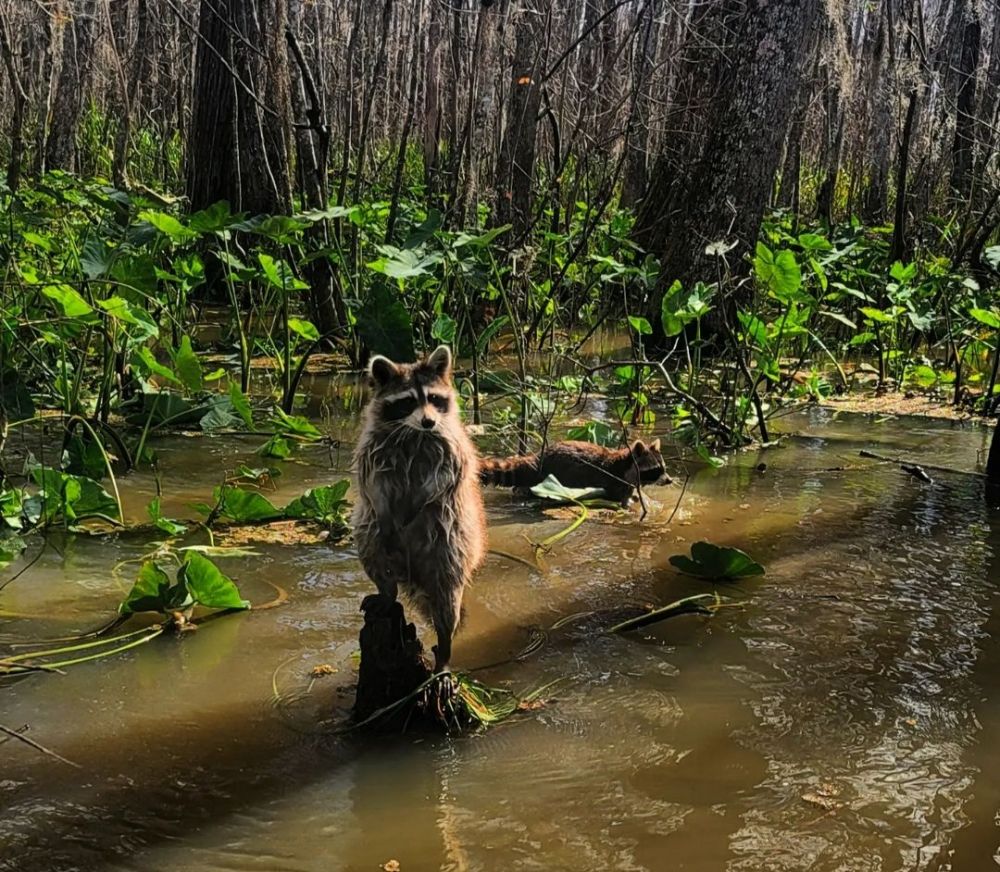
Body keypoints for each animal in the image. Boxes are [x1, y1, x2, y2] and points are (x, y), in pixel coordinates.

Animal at [354, 344, 486, 672]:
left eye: (434, 399)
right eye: (407, 402)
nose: (428, 422)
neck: (412, 432)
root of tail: (411, 573)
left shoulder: (450, 446)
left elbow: (443, 479)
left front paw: (420, 502)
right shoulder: (375, 449)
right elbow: (374, 485)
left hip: (449, 547)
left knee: (447, 604)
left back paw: (445, 648)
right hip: (374, 537)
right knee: (371, 546)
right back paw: (386, 593)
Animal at [478, 440, 668, 508]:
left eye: (664, 468)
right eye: (656, 470)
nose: (669, 480)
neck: (626, 464)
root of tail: (539, 457)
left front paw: (641, 497)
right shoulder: (614, 479)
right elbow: (617, 496)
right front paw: (629, 503)